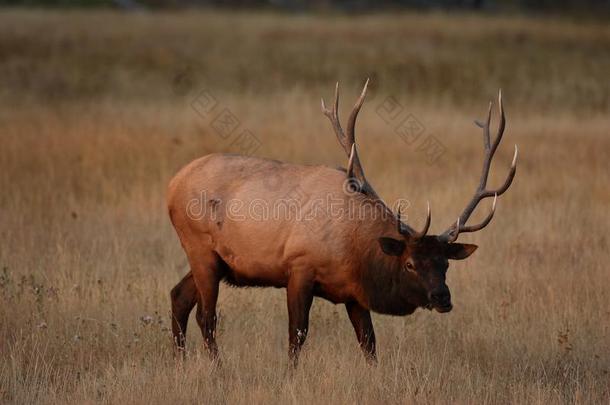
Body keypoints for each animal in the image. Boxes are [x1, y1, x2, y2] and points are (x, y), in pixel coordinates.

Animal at [166, 80, 512, 364]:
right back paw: (217, 367)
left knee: (178, 297)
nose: (443, 297)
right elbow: (297, 335)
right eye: (410, 263)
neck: (355, 250)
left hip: (217, 261)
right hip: (199, 247)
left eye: (446, 264)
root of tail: (172, 185)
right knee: (207, 317)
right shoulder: (299, 268)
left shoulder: (354, 294)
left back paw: (179, 361)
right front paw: (290, 375)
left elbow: (369, 343)